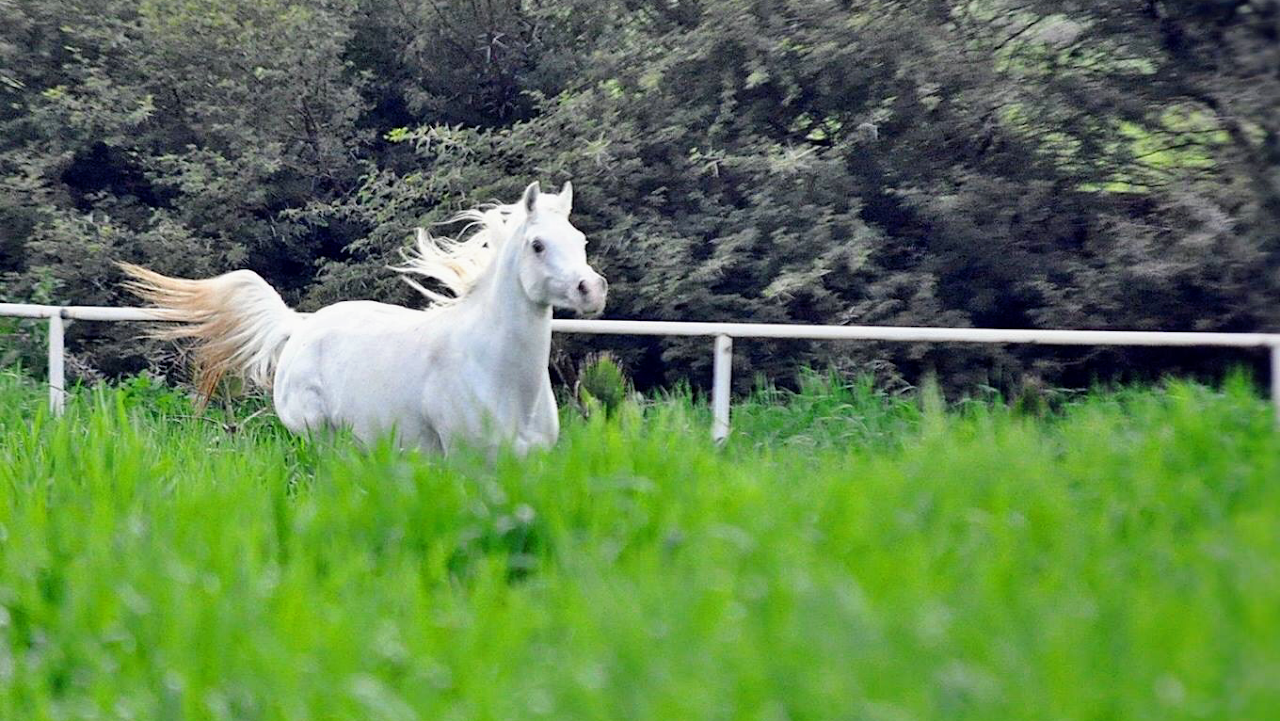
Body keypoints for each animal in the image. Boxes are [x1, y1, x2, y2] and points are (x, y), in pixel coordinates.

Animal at [120, 180, 607, 456]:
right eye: (538, 245)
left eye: (580, 239)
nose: (592, 289)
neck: (499, 378)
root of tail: (300, 325)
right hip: (321, 437)